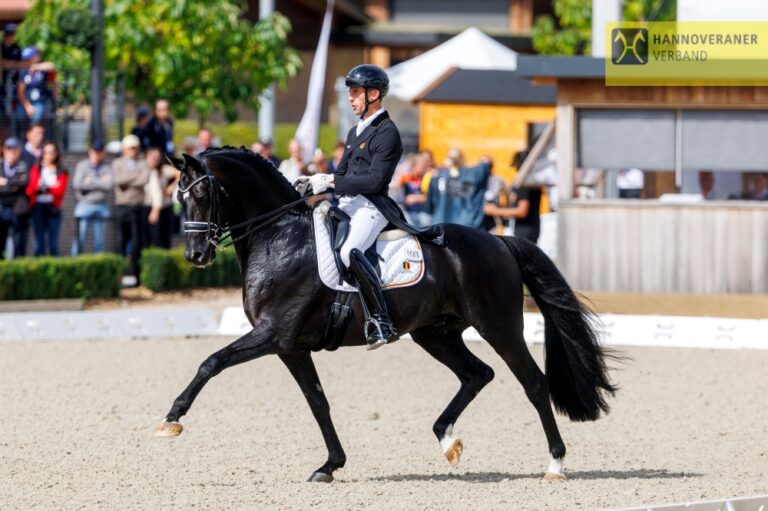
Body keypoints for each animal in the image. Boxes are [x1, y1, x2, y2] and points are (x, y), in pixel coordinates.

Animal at [156, 147, 616, 483]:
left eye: (202, 196)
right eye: (179, 197)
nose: (195, 257)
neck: (280, 238)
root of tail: (499, 241)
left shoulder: (274, 334)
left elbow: (211, 361)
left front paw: (171, 419)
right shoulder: (291, 347)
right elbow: (318, 402)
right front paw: (330, 465)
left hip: (499, 328)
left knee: (534, 383)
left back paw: (555, 465)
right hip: (435, 334)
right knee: (477, 374)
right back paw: (447, 441)